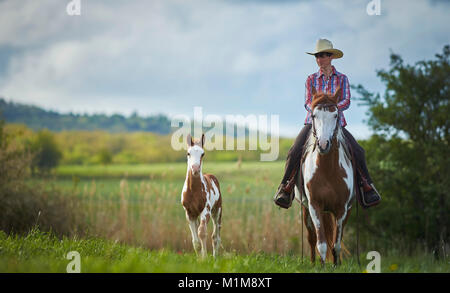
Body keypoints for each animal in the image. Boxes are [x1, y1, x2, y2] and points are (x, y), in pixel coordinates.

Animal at [296, 86, 356, 264]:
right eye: (314, 115)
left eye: (335, 115)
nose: (323, 144)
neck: (328, 169)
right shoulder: (314, 206)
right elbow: (321, 244)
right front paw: (321, 265)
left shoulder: (342, 209)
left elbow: (336, 244)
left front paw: (336, 265)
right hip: (306, 210)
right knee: (311, 238)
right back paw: (312, 262)